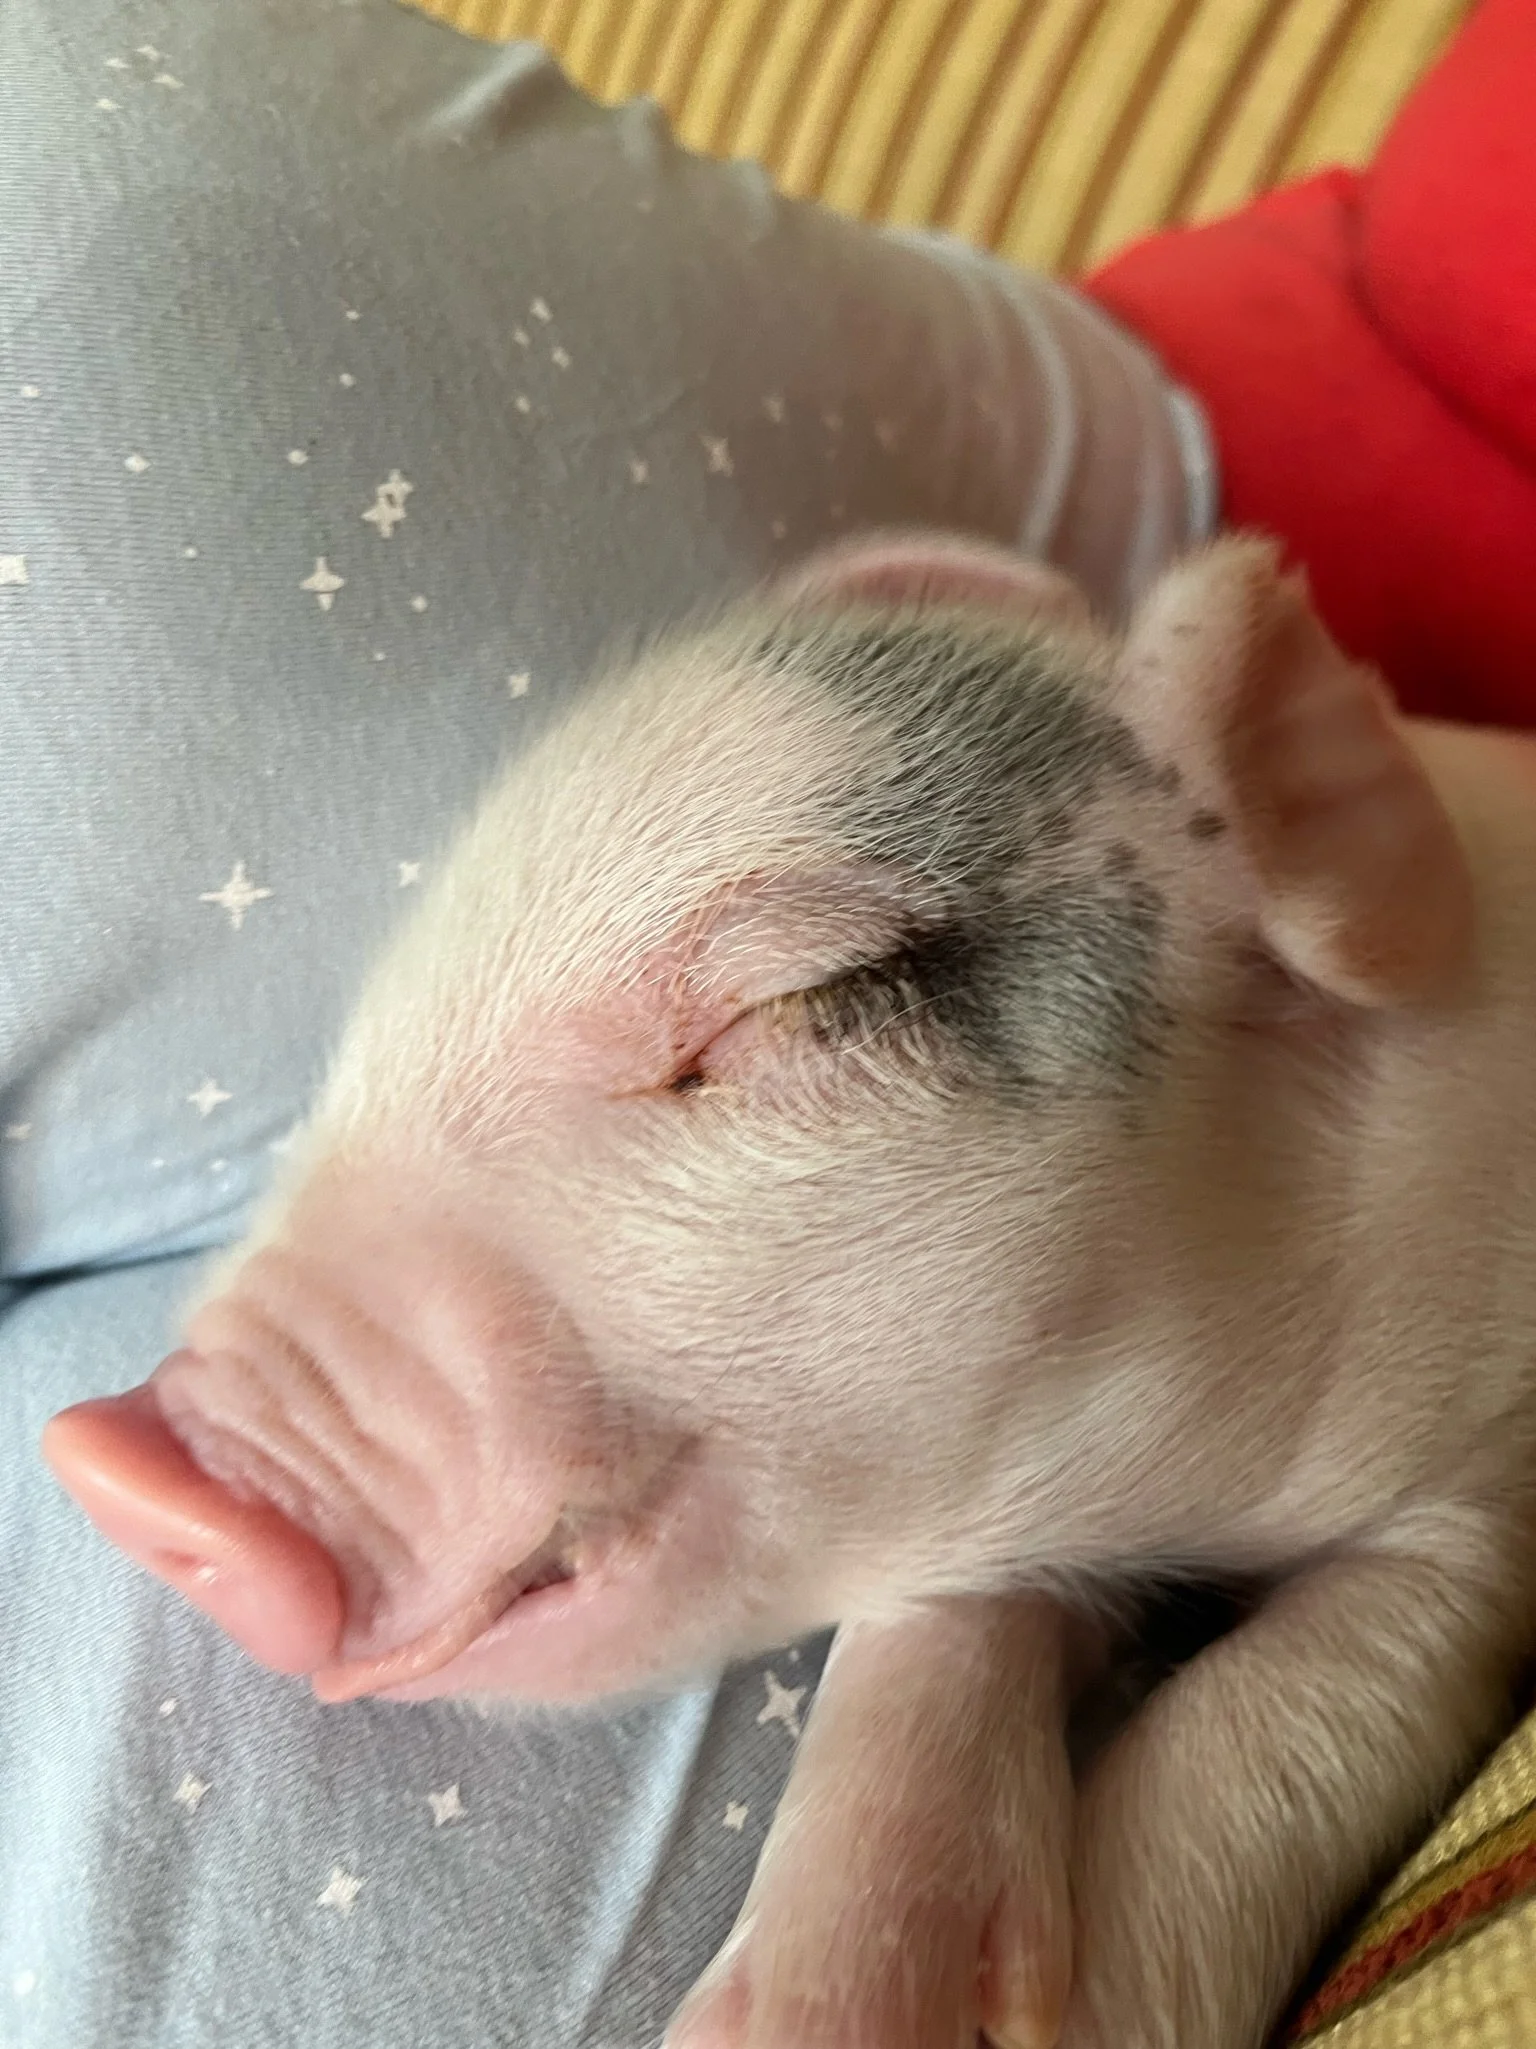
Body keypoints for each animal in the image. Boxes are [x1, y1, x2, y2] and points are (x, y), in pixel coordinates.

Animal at [43, 531, 1536, 2049]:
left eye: (798, 1000)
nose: (110, 1459)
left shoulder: (1485, 1506)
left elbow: (1288, 1708)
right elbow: (939, 1631)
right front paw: (792, 2017)